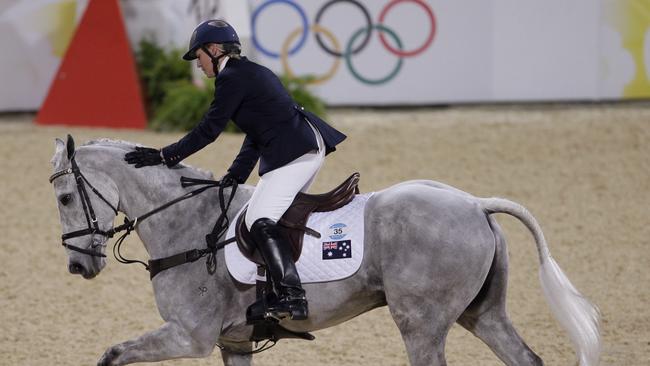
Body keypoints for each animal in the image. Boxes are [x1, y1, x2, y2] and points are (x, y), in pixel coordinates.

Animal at [48, 138, 600, 366]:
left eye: (65, 197)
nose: (78, 266)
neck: (187, 222)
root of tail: (474, 203)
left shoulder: (190, 335)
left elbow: (113, 354)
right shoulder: (233, 343)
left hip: (420, 323)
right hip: (481, 314)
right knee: (525, 358)